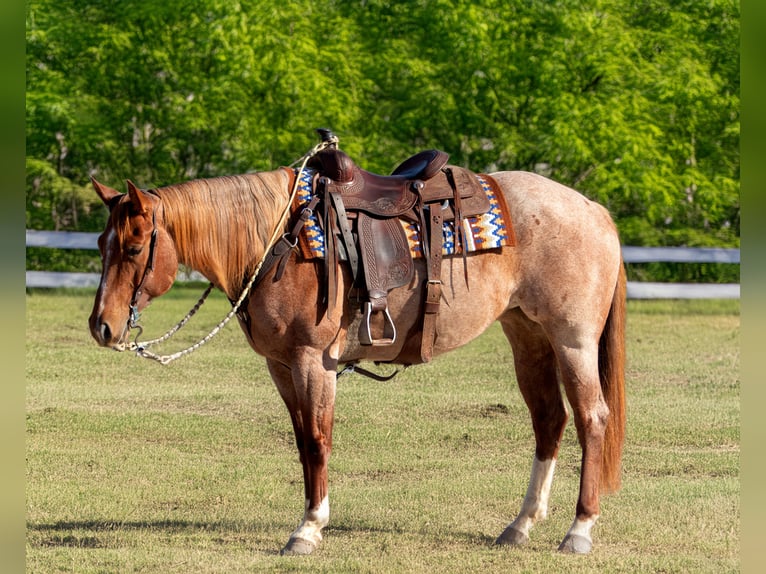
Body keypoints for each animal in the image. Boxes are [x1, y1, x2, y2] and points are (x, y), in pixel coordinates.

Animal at [88, 154, 626, 556]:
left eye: (133, 247)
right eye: (100, 243)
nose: (102, 326)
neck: (277, 240)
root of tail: (593, 209)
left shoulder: (313, 361)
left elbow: (318, 440)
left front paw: (308, 529)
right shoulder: (280, 366)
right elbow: (302, 441)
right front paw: (310, 520)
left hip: (573, 340)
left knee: (591, 418)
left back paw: (579, 530)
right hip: (527, 336)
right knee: (549, 420)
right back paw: (520, 525)